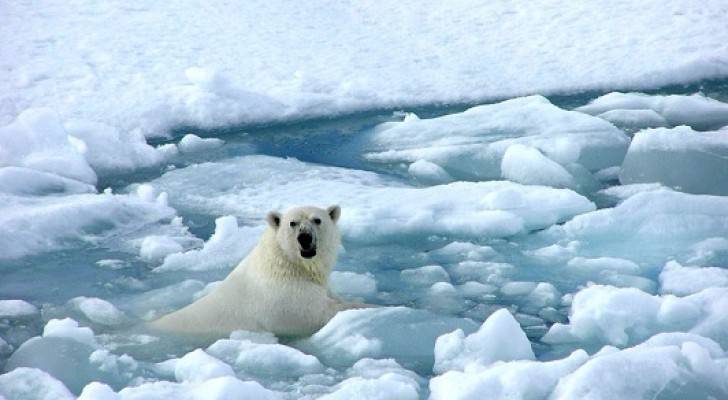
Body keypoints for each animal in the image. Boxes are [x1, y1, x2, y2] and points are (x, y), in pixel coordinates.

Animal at [148, 205, 366, 340]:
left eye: (317, 220)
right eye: (292, 223)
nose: (304, 238)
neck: (287, 266)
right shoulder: (284, 298)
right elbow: (318, 313)